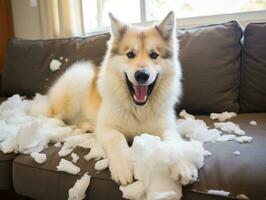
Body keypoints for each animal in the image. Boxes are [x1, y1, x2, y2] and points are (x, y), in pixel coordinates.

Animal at [48, 11, 183, 186]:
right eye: (130, 54)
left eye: (154, 55)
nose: (142, 75)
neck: (138, 108)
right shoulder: (107, 128)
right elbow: (117, 138)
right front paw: (123, 166)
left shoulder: (166, 129)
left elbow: (173, 143)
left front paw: (182, 166)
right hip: (80, 79)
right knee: (60, 117)